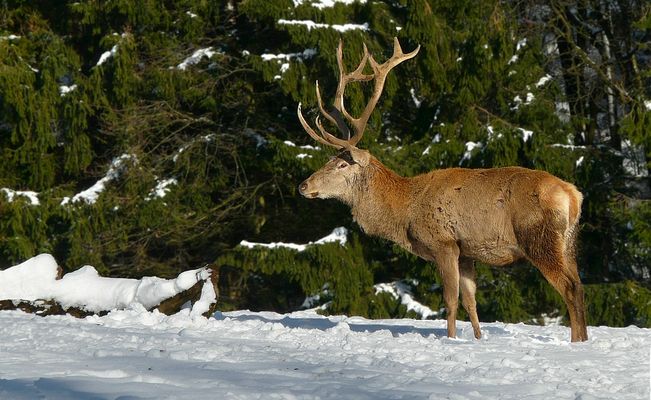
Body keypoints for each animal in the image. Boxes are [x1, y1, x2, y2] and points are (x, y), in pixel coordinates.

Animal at [297, 37, 588, 342]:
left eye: (342, 164)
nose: (303, 185)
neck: (405, 211)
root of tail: (573, 195)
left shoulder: (443, 242)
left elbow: (450, 300)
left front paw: (451, 339)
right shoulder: (467, 251)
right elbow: (471, 301)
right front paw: (477, 339)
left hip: (539, 237)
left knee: (570, 288)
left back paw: (575, 343)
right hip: (569, 242)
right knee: (580, 286)